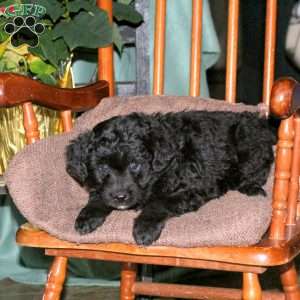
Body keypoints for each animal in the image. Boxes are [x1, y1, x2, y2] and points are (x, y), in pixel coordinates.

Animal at [66, 111, 276, 245]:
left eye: (135, 165)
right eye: (102, 167)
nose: (120, 197)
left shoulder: (190, 189)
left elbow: (158, 202)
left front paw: (145, 228)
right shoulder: (103, 188)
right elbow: (99, 195)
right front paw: (87, 216)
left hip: (248, 143)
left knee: (258, 170)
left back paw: (250, 187)